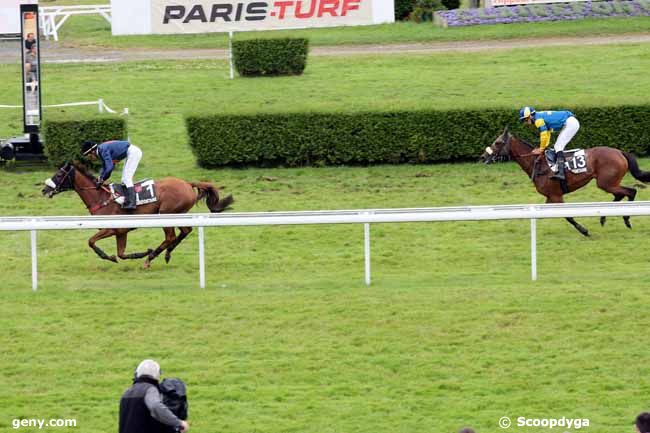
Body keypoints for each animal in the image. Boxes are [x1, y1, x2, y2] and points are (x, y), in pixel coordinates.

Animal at [41, 160, 233, 264]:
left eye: (59, 175)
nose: (44, 190)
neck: (101, 197)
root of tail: (187, 183)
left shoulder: (111, 228)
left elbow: (91, 241)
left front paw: (112, 256)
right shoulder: (121, 231)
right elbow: (121, 253)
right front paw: (137, 254)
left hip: (166, 214)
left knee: (170, 237)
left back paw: (152, 257)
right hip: (178, 214)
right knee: (185, 231)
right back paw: (166, 254)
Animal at [478, 126, 648, 236]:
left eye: (498, 142)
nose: (483, 157)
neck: (537, 163)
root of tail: (620, 152)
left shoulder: (556, 196)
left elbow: (568, 216)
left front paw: (584, 231)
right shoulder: (550, 197)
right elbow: (542, 213)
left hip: (606, 183)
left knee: (631, 191)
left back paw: (626, 219)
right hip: (608, 183)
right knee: (621, 194)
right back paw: (604, 217)